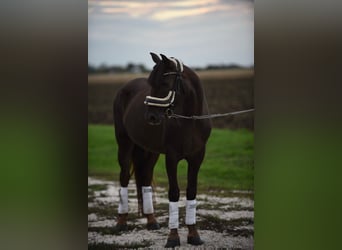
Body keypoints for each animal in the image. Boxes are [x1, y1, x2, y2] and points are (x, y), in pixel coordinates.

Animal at [113, 52, 212, 248]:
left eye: (165, 84)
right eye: (151, 84)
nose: (150, 117)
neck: (190, 122)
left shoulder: (197, 158)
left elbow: (191, 191)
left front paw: (194, 235)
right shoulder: (171, 158)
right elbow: (174, 193)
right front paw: (173, 238)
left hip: (151, 152)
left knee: (145, 178)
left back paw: (151, 220)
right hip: (125, 144)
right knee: (124, 177)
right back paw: (121, 222)